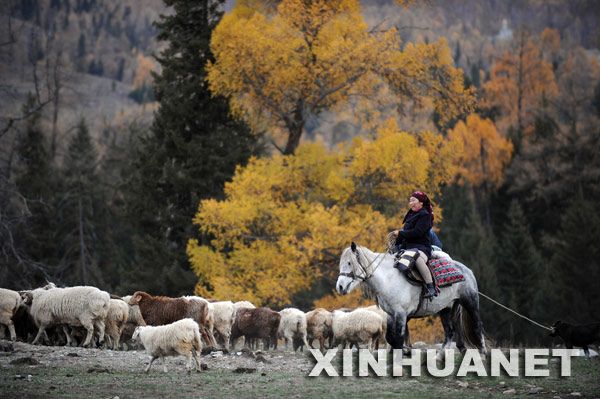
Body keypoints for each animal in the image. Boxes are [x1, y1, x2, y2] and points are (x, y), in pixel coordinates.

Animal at [336, 242, 486, 354]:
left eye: (349, 263)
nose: (340, 287)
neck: (388, 279)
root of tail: (466, 270)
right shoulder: (391, 314)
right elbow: (390, 338)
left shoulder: (401, 314)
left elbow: (398, 338)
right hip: (446, 308)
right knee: (450, 332)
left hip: (470, 302)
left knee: (477, 326)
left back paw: (482, 353)